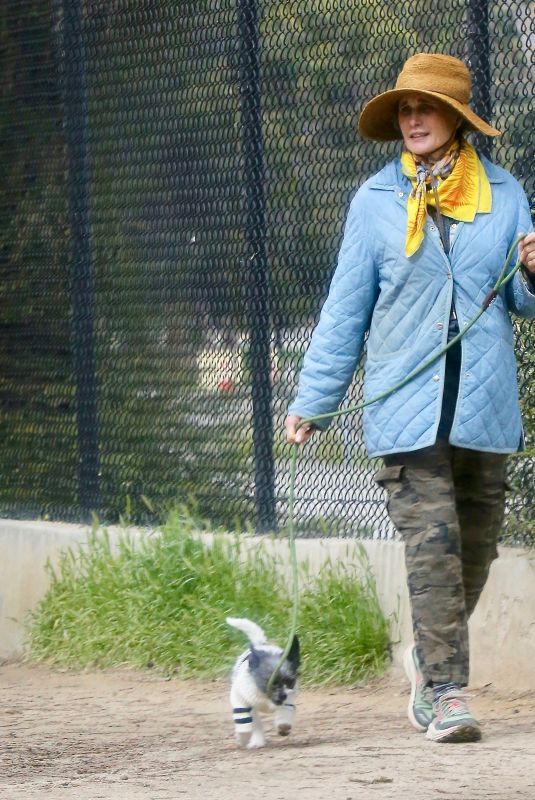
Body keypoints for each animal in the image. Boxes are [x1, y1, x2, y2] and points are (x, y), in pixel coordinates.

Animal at [227, 620, 302, 752]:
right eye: (271, 683)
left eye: (290, 681)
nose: (283, 696)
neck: (266, 698)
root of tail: (260, 644)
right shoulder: (241, 700)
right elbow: (245, 725)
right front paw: (243, 739)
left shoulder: (288, 700)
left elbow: (284, 713)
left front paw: (283, 726)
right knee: (255, 722)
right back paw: (257, 741)